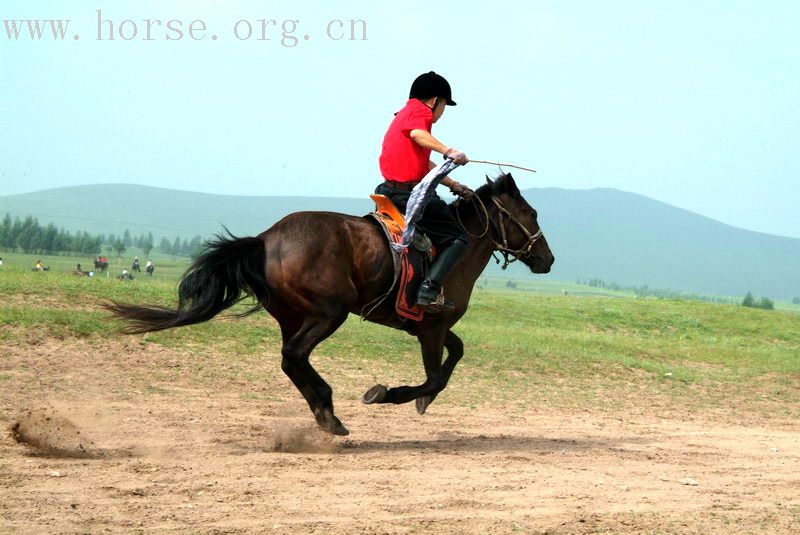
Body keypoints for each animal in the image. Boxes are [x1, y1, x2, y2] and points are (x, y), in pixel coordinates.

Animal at [106, 174, 552, 438]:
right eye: (530, 213)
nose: (547, 259)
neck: (454, 247)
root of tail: (267, 239)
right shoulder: (431, 328)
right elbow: (433, 379)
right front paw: (387, 394)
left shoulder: (433, 328)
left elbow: (455, 355)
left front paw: (417, 400)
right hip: (327, 313)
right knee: (294, 355)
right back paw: (329, 411)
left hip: (295, 315)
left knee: (291, 359)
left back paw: (326, 412)